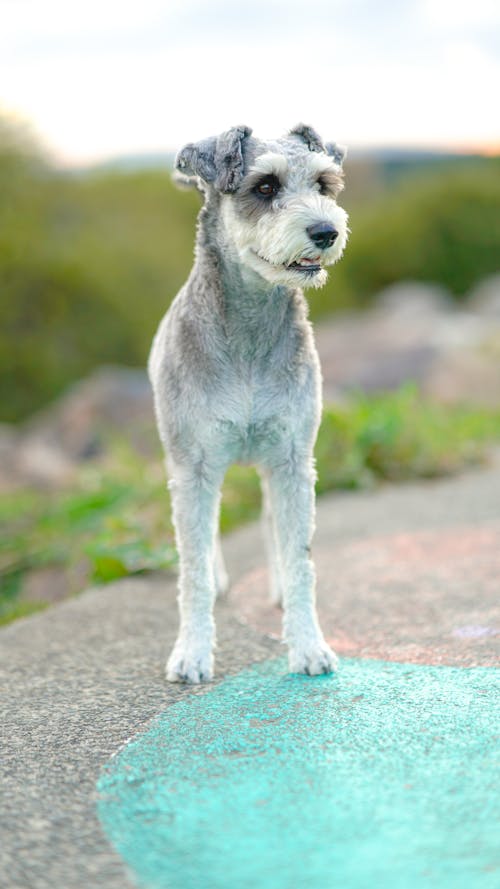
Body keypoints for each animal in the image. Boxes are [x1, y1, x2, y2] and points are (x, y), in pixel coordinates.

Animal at [148, 121, 348, 684]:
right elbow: (191, 567)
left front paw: (309, 646)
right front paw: (192, 654)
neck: (249, 333)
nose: (326, 232)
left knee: (270, 525)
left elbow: (300, 557)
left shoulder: (293, 460)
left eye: (323, 184)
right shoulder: (193, 467)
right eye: (264, 186)